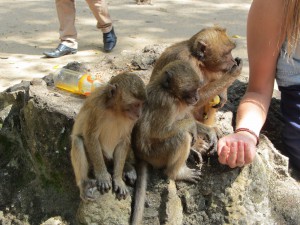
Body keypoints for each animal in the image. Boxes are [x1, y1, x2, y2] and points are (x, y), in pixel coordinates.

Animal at [69, 72, 146, 202]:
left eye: (141, 104)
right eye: (136, 104)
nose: (139, 114)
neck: (116, 111)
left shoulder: (131, 120)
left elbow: (124, 141)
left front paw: (118, 179)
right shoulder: (97, 108)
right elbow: (91, 136)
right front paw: (103, 175)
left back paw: (127, 167)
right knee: (77, 141)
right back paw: (84, 184)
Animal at [130, 60, 205, 225]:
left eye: (198, 89)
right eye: (192, 91)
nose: (197, 97)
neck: (173, 95)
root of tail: (141, 155)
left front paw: (194, 145)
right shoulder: (166, 104)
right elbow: (159, 131)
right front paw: (192, 125)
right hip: (157, 155)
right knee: (182, 137)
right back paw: (176, 173)